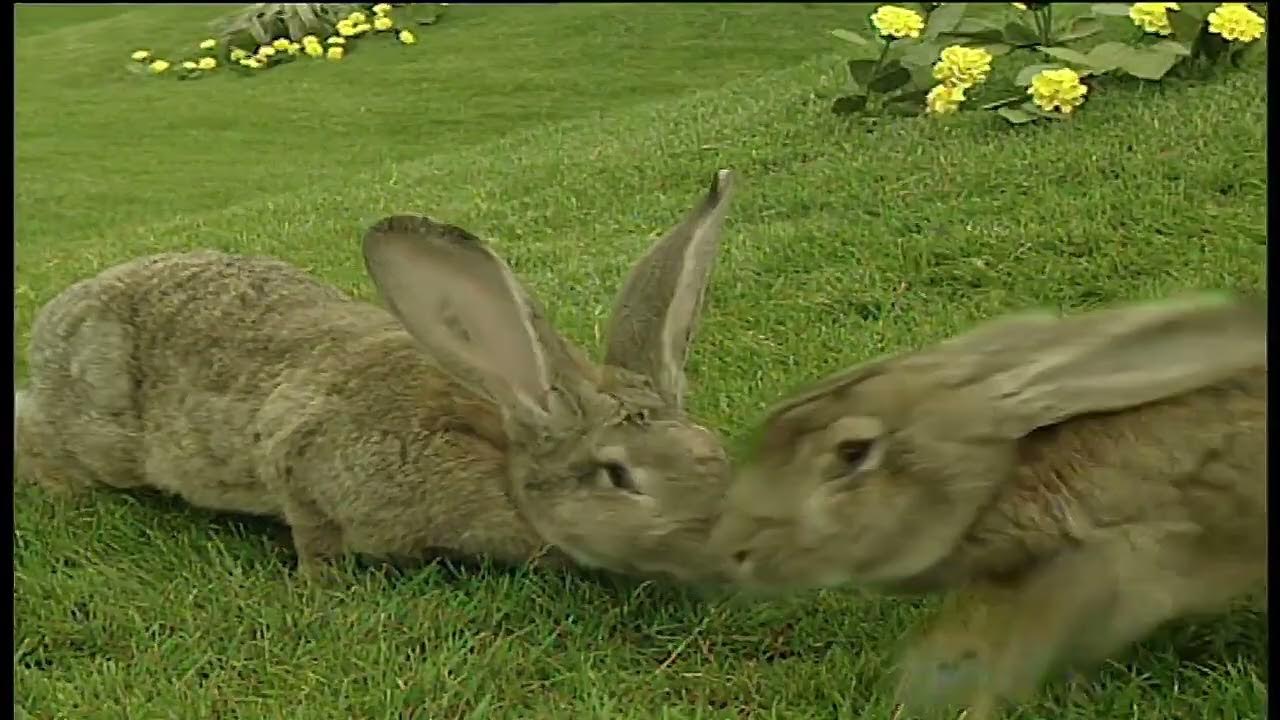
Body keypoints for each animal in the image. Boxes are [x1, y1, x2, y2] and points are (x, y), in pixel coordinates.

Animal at [16, 169, 737, 584]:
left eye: (717, 453)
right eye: (619, 476)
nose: (729, 542)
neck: (499, 451)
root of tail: (57, 314)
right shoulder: (300, 457)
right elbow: (313, 532)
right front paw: (322, 587)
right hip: (101, 436)